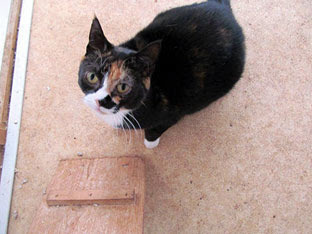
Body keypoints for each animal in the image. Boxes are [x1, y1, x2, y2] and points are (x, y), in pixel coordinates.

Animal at [78, 0, 244, 148]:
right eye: (92, 77)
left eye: (123, 87)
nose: (100, 101)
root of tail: (224, 7)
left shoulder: (173, 113)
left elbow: (155, 130)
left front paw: (150, 143)